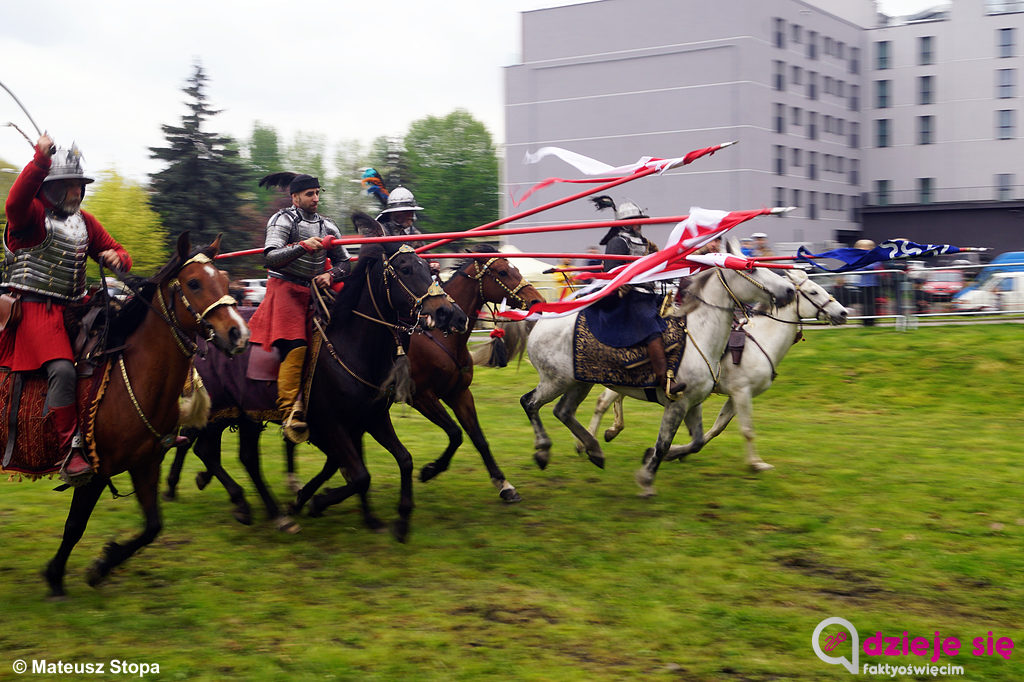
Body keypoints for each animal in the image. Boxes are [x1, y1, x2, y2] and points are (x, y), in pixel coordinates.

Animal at [23, 233, 247, 593]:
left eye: (226, 282)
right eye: (194, 283)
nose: (238, 334)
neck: (134, 375)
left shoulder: (146, 463)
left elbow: (153, 526)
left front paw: (103, 564)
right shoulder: (97, 471)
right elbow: (75, 526)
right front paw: (55, 576)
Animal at [524, 261, 794, 493]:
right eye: (752, 269)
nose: (789, 291)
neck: (700, 334)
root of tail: (539, 323)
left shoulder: (694, 402)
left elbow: (696, 441)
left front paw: (655, 457)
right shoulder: (678, 403)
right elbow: (664, 444)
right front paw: (646, 479)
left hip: (579, 382)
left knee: (563, 412)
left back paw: (594, 450)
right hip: (555, 381)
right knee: (530, 403)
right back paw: (544, 451)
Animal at [589, 268, 843, 471]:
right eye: (813, 292)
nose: (842, 313)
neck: (761, 342)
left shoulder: (735, 396)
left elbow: (714, 430)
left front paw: (674, 453)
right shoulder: (741, 392)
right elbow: (747, 429)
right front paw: (757, 464)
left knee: (611, 399)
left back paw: (610, 431)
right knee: (603, 402)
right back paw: (593, 441)